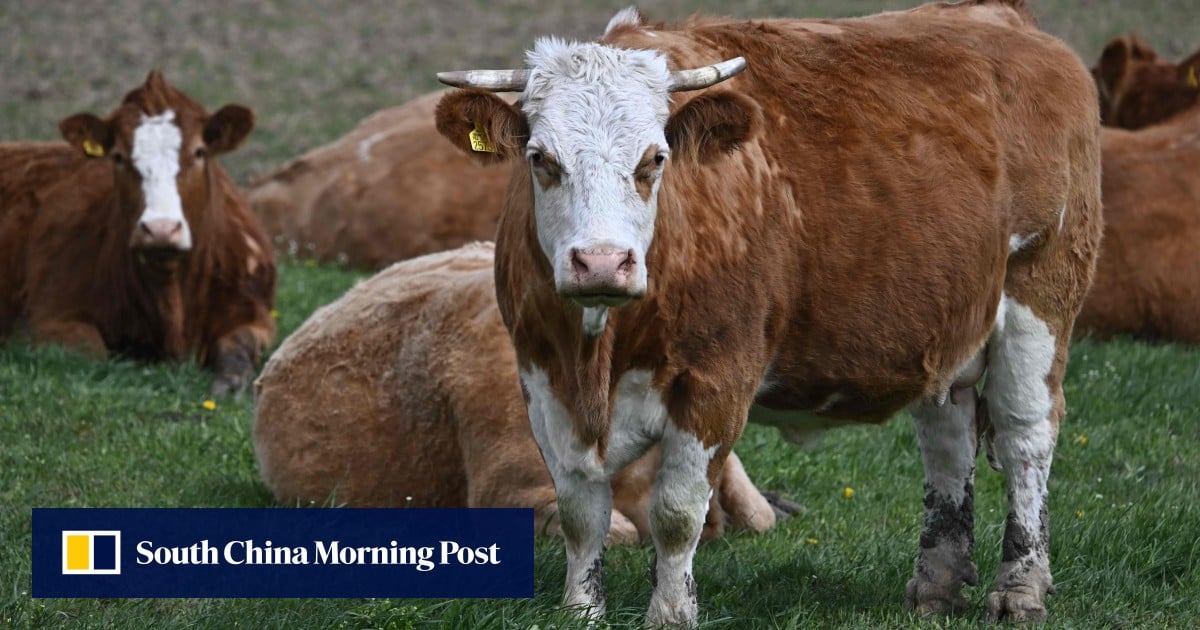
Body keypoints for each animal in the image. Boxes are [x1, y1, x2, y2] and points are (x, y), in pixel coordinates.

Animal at [0, 71, 275, 395]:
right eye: (118, 156)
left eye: (199, 152)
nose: (161, 229)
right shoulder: (46, 320)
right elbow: (93, 352)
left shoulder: (256, 315)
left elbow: (238, 346)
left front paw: (230, 382)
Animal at [433, 1, 1101, 625]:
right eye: (541, 159)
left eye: (655, 159)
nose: (601, 263)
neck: (599, 352)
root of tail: (1003, 19)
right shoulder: (542, 379)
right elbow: (579, 511)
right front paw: (581, 611)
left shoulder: (716, 381)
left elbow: (677, 514)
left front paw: (671, 613)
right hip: (946, 326)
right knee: (948, 440)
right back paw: (936, 588)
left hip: (1041, 295)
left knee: (1025, 435)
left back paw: (1020, 588)